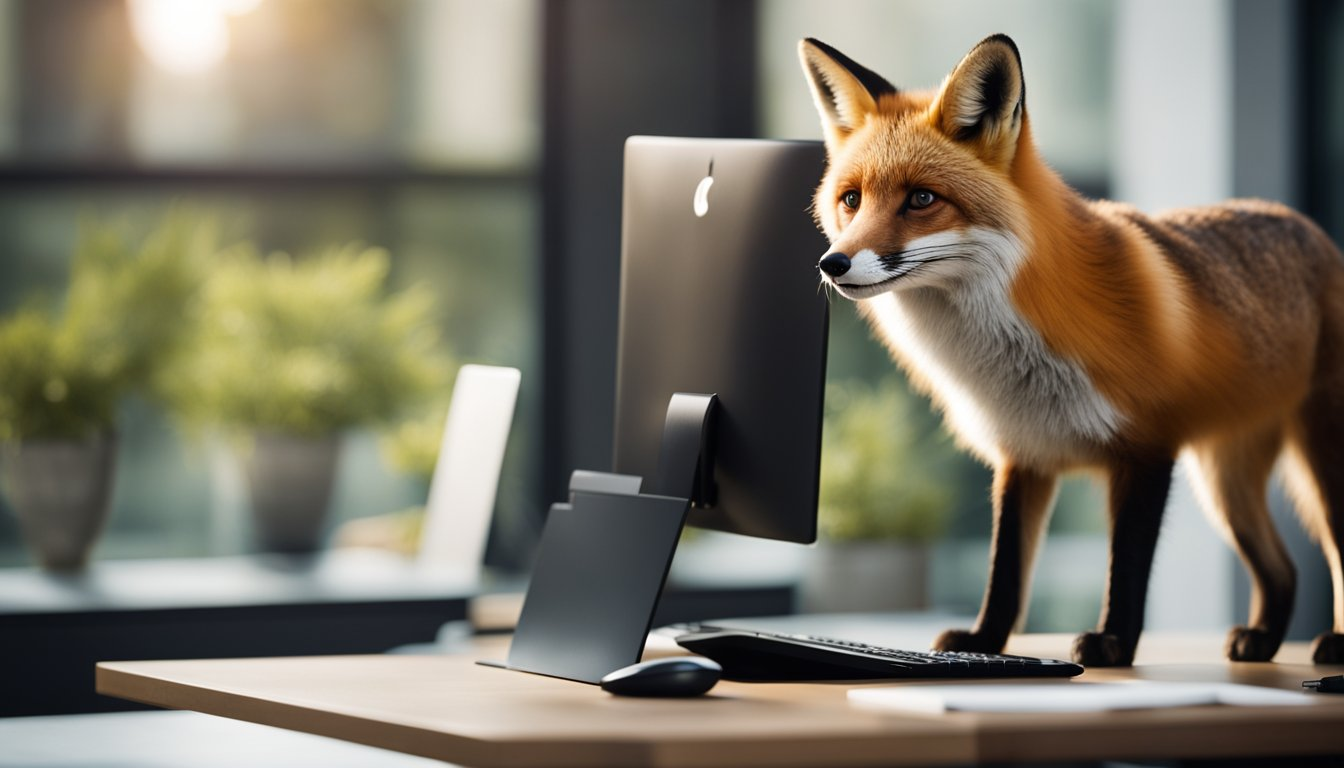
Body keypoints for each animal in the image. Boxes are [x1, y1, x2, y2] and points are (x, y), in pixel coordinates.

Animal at [799, 34, 1344, 667]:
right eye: (851, 200)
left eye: (921, 199)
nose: (832, 263)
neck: (1011, 355)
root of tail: (1307, 225)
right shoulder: (1023, 453)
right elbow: (1006, 570)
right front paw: (984, 644)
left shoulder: (1147, 447)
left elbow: (1125, 567)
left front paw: (1113, 645)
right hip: (1224, 482)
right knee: (1283, 570)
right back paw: (1262, 640)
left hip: (1314, 467)